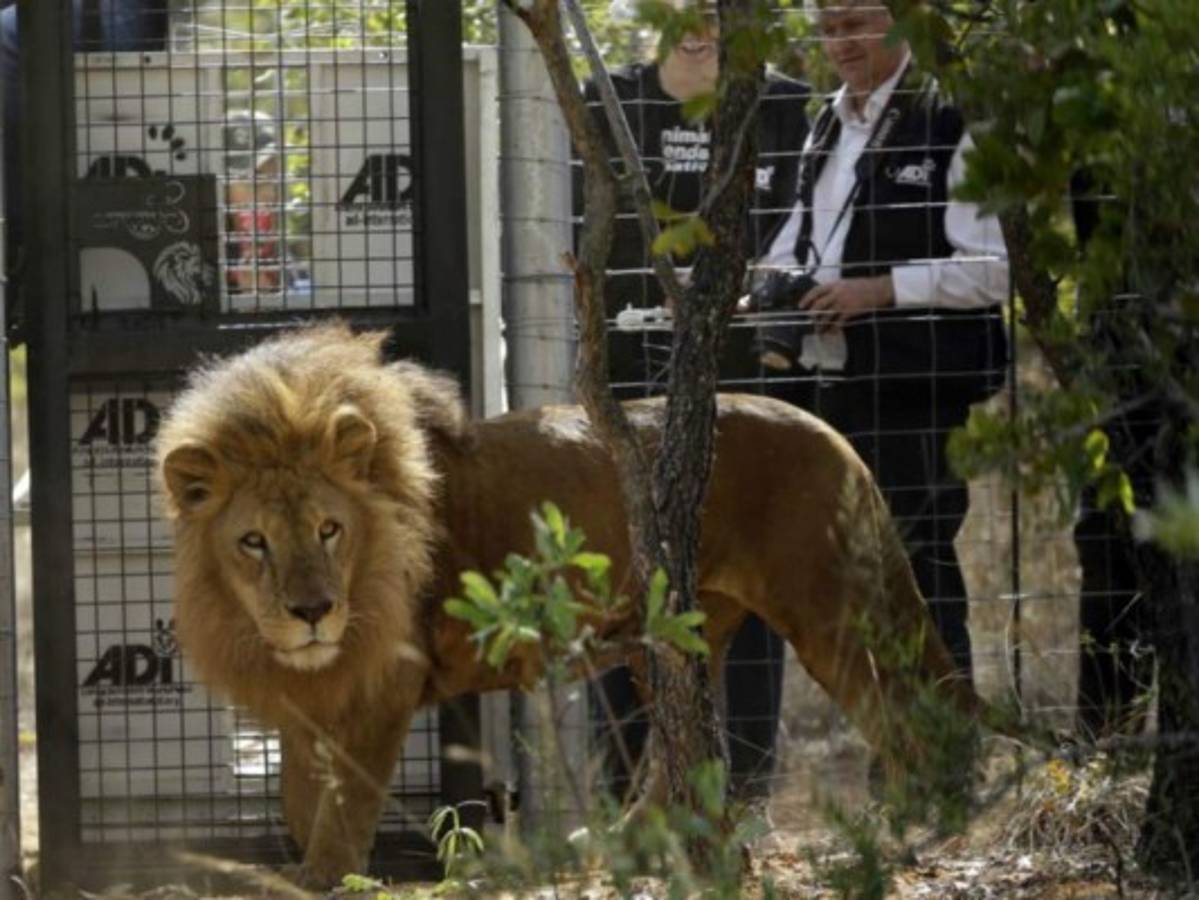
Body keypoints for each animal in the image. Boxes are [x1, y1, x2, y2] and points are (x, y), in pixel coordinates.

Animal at [156, 321, 979, 883]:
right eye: (254, 542)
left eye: (329, 530)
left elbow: (343, 807)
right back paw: (630, 846)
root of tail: (831, 433)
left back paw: (922, 823)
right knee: (675, 749)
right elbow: (299, 799)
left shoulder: (383, 681)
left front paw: (327, 878)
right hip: (675, 630)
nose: (312, 612)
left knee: (910, 710)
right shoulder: (314, 695)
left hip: (836, 608)